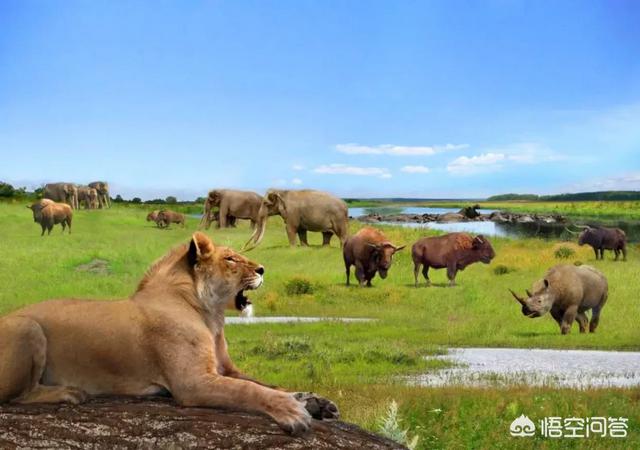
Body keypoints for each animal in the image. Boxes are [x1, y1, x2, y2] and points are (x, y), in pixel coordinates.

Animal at [0, 232, 338, 432]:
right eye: (230, 258)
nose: (263, 269)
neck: (211, 316)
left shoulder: (226, 369)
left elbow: (269, 384)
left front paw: (315, 402)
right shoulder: (193, 382)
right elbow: (249, 390)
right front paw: (292, 410)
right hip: (27, 326)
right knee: (14, 396)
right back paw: (69, 393)